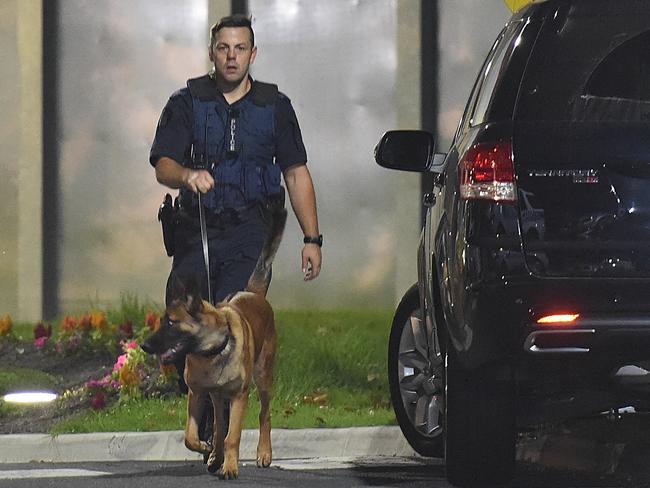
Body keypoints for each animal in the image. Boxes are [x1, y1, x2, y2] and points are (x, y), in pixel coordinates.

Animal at [143, 204, 284, 478]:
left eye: (171, 323)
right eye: (161, 321)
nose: (144, 346)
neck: (212, 351)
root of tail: (252, 292)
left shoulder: (239, 396)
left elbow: (233, 437)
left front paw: (229, 467)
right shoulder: (197, 394)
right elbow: (191, 436)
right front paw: (205, 448)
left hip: (262, 378)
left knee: (264, 414)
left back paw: (263, 453)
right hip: (217, 398)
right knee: (219, 426)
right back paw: (214, 455)